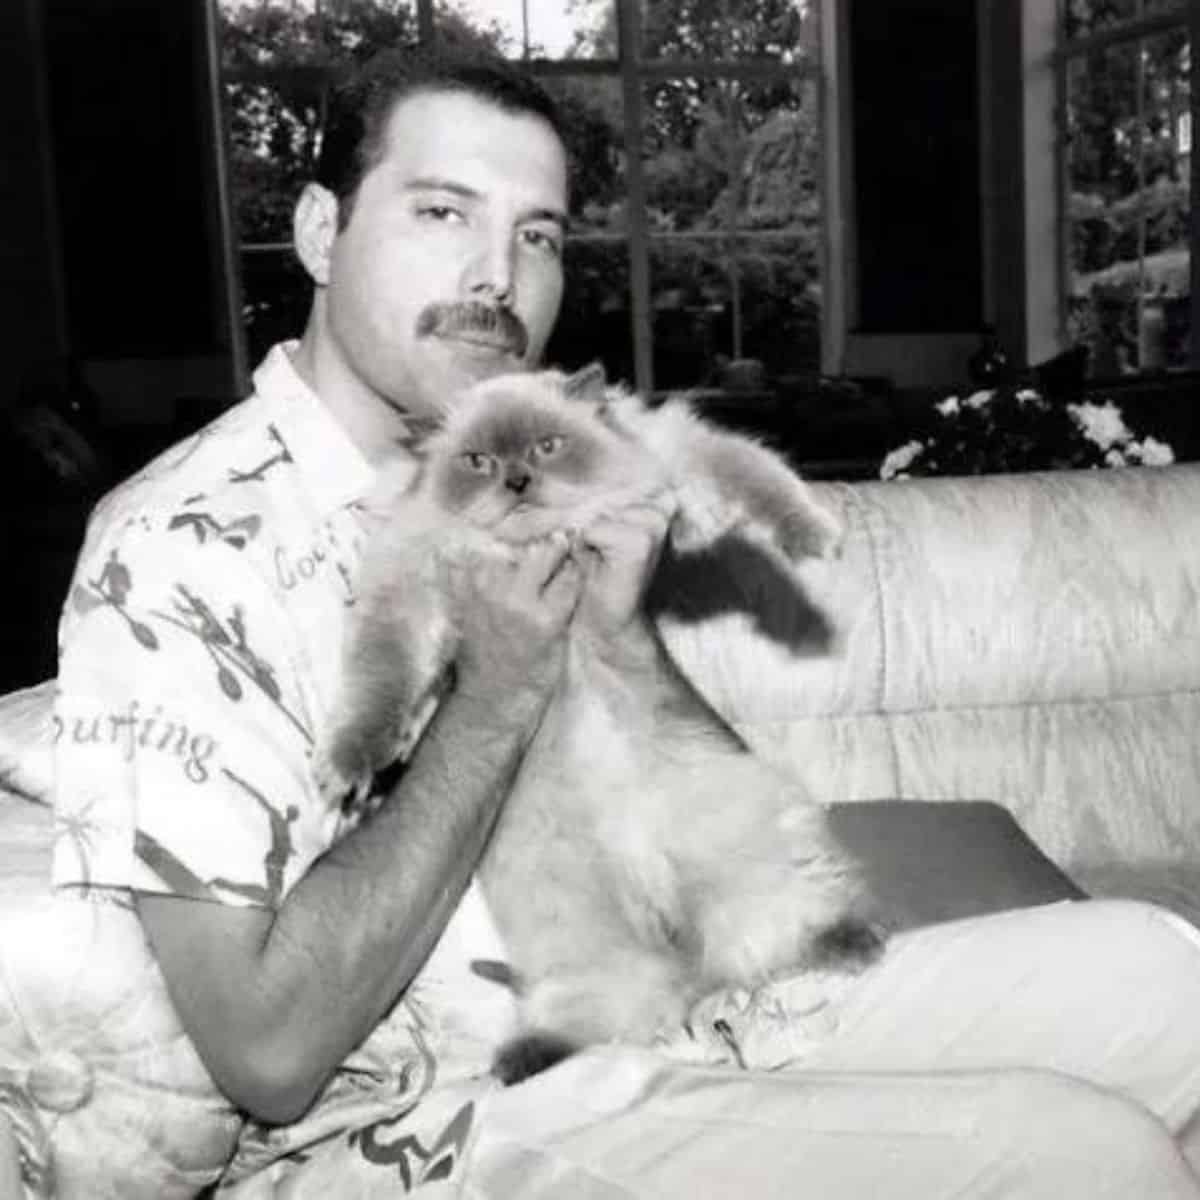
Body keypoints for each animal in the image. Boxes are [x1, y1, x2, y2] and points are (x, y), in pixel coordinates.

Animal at [319, 362, 883, 1080]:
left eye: (547, 447)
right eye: (478, 462)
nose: (517, 481)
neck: (543, 544)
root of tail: (667, 925)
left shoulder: (672, 460)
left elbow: (757, 479)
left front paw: (816, 538)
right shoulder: (408, 585)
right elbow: (379, 688)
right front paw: (349, 767)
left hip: (749, 862)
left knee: (772, 936)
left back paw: (850, 943)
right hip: (577, 934)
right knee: (629, 1005)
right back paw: (526, 1057)